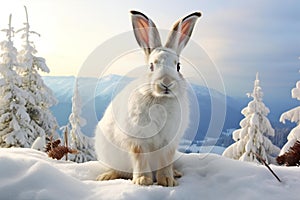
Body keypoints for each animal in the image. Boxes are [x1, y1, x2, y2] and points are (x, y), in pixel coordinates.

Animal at [95, 10, 200, 186]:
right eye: (151, 66)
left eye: (178, 66)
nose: (166, 83)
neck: (160, 99)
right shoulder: (138, 140)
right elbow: (140, 158)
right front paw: (143, 180)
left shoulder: (168, 143)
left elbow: (165, 161)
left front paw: (167, 181)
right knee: (118, 171)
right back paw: (106, 176)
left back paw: (176, 173)